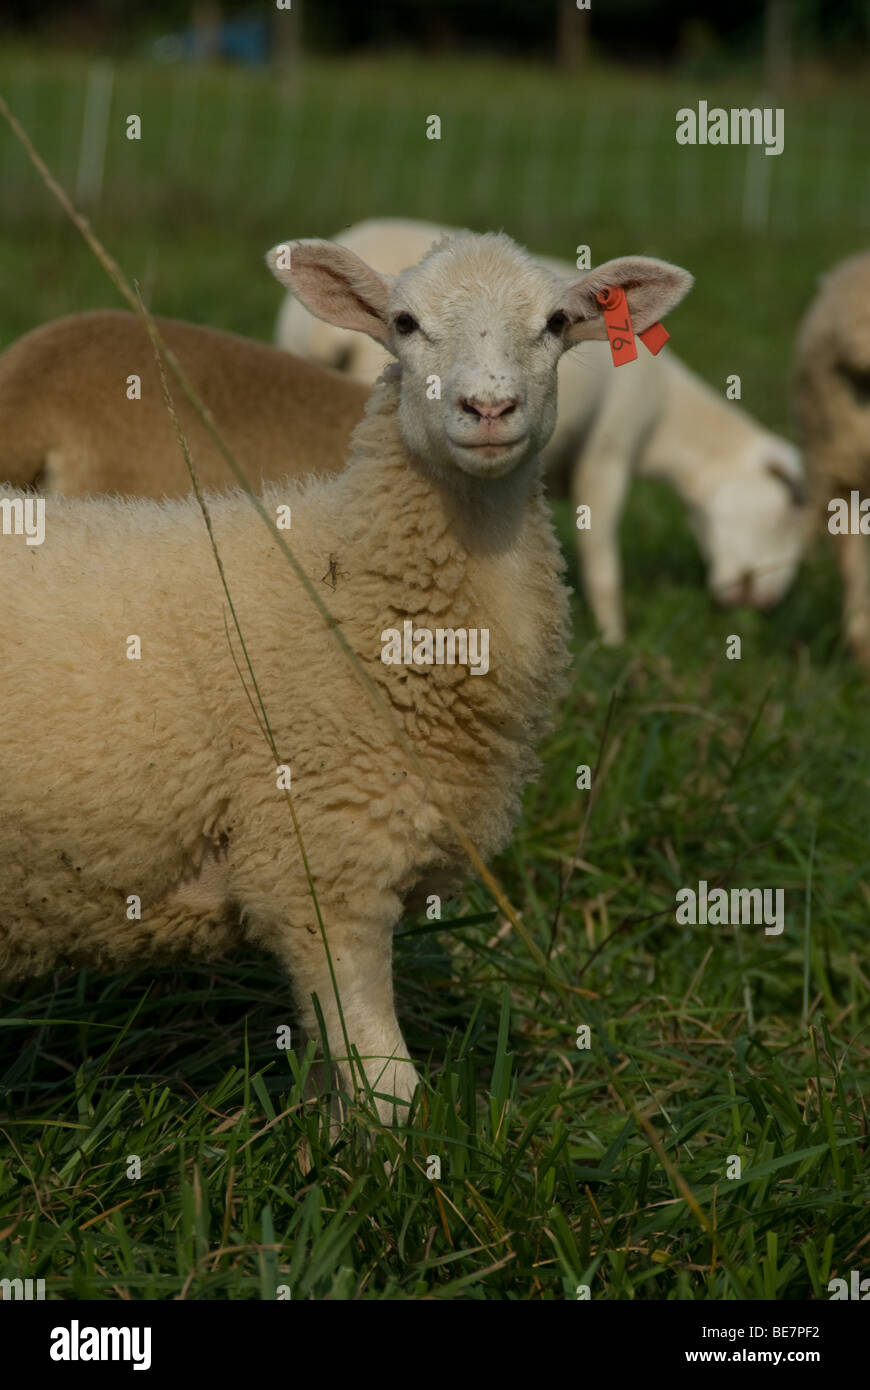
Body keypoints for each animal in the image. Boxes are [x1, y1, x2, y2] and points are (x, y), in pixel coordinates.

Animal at [277, 218, 806, 644]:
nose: (763, 602)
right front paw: (614, 640)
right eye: (788, 507)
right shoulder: (610, 446)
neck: (666, 420)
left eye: (557, 322)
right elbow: (601, 558)